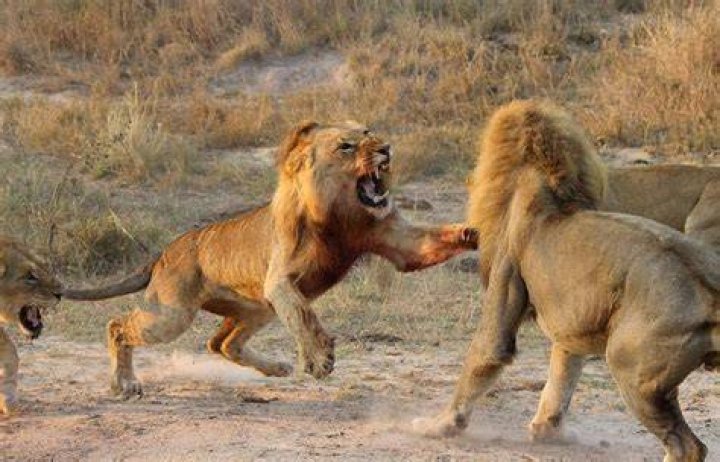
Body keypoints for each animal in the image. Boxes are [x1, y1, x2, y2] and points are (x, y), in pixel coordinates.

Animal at [62, 120, 478, 397]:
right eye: (346, 146)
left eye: (369, 132)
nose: (386, 149)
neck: (341, 215)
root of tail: (165, 252)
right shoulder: (280, 281)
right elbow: (303, 314)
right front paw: (319, 360)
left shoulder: (397, 241)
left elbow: (430, 243)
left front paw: (471, 233)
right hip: (172, 314)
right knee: (118, 325)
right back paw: (124, 383)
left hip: (256, 308)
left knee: (221, 344)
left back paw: (276, 367)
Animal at [413, 101, 719, 462]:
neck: (551, 189)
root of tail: (710, 293)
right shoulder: (574, 321)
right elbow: (563, 373)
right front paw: (546, 430)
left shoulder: (506, 269)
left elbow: (484, 354)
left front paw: (437, 425)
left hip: (630, 367)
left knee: (689, 447)